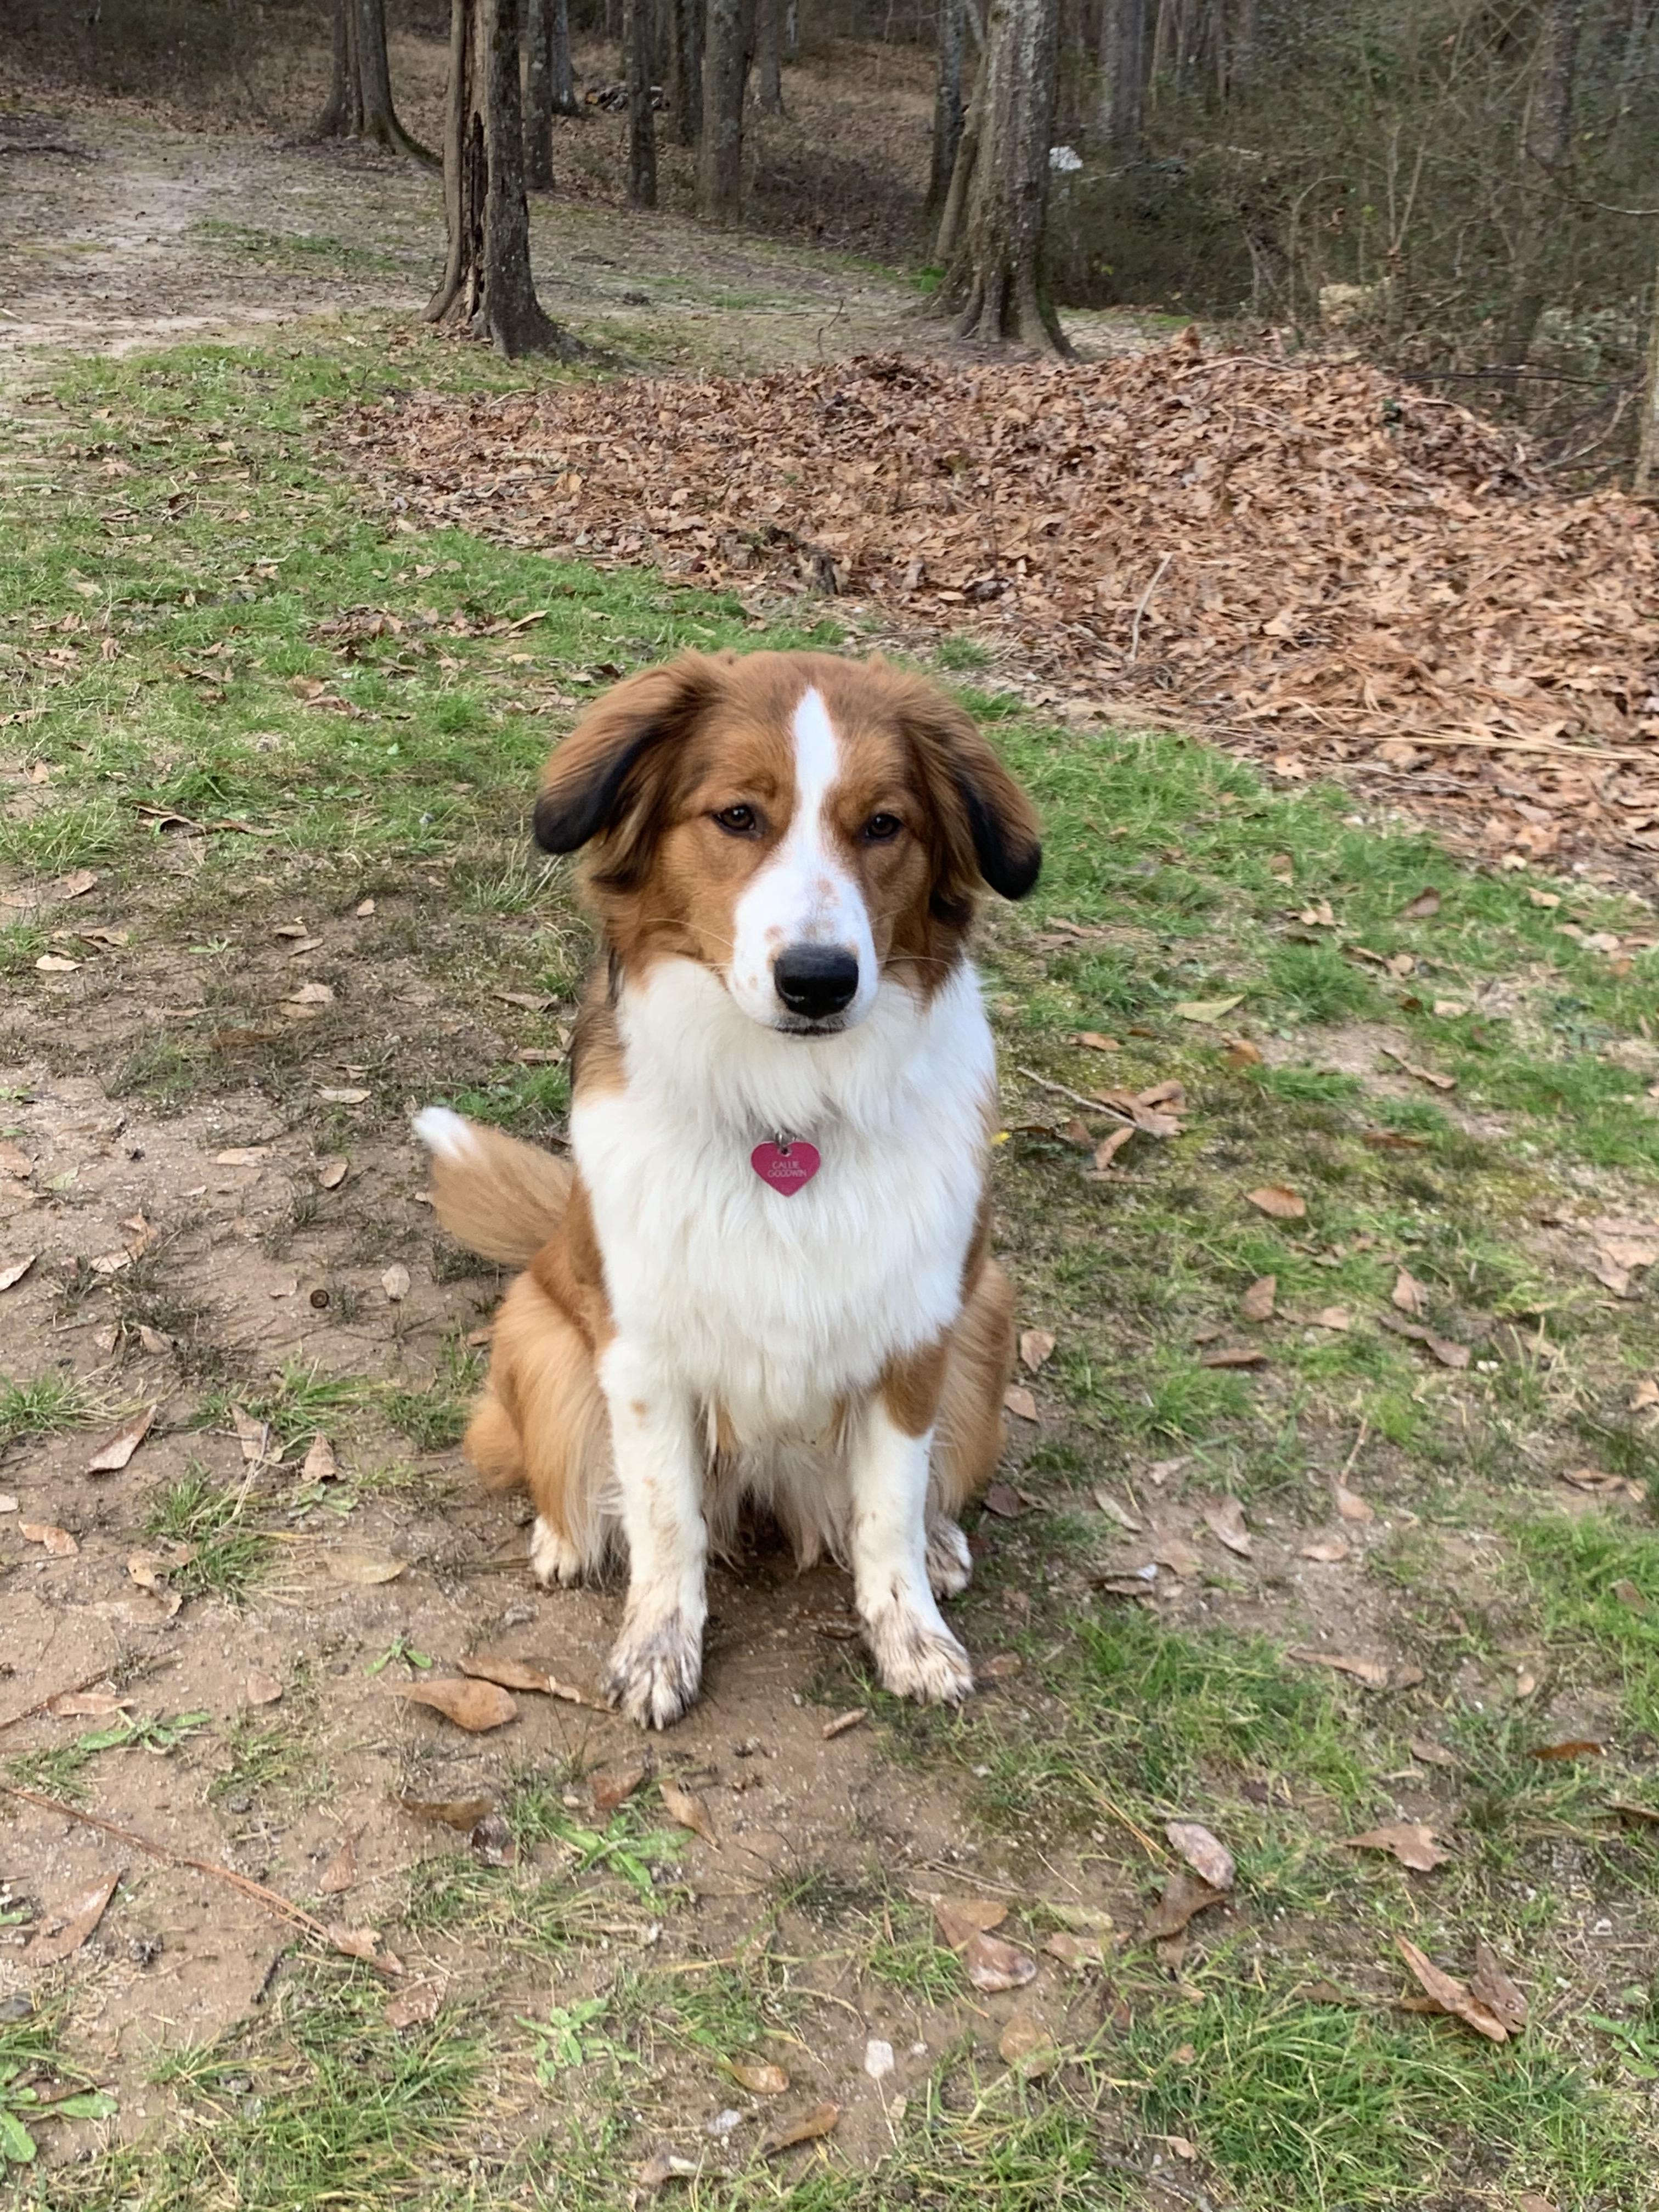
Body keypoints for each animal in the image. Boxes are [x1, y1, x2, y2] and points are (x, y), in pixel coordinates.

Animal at [415, 649, 1040, 1728]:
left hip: (987, 1308)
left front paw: (910, 1630)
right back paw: (566, 1534)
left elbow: (887, 1507)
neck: (788, 1113)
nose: (818, 981)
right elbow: (666, 1519)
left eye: (884, 825)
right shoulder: (645, 1355)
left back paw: (942, 1541)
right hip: (538, 1327)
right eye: (738, 816)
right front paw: (658, 1645)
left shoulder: (913, 1335)